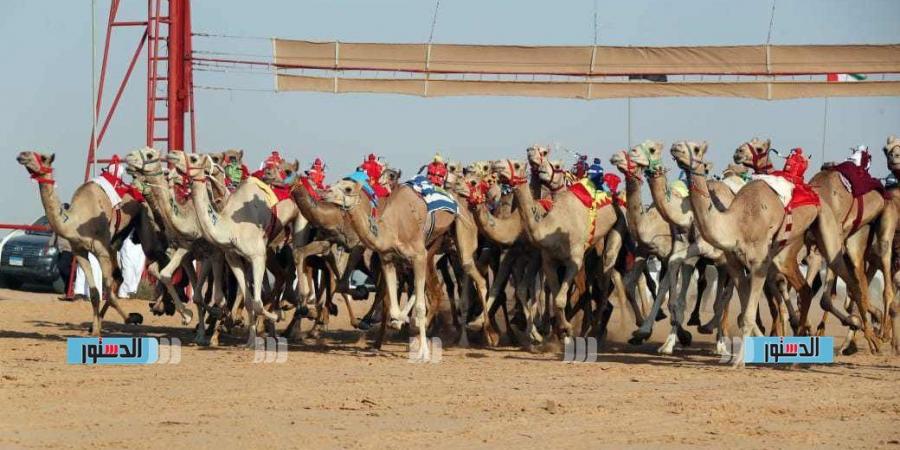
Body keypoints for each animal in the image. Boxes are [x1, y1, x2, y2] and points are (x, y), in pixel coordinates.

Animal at [14, 151, 142, 334]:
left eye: (43, 157)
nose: (22, 155)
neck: (75, 221)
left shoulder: (101, 251)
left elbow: (107, 292)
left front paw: (131, 318)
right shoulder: (80, 252)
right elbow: (95, 293)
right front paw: (95, 329)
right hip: (114, 241)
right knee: (118, 276)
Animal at [672, 143, 860, 366]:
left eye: (696, 149)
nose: (675, 148)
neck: (737, 223)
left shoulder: (759, 263)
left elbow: (747, 315)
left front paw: (738, 362)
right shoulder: (736, 266)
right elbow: (744, 313)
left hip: (822, 230)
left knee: (846, 276)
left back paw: (860, 329)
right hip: (788, 250)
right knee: (806, 289)